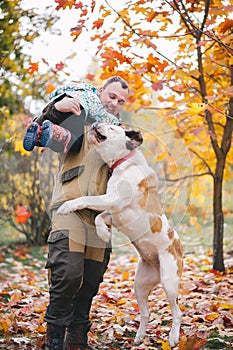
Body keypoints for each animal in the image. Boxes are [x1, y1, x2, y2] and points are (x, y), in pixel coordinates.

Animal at [57, 123, 183, 348]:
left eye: (112, 127)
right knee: (145, 312)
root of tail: (179, 247)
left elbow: (85, 199)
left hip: (169, 282)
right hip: (140, 285)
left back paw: (174, 337)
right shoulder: (112, 211)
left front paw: (67, 206)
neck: (124, 163)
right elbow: (99, 218)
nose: (96, 123)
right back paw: (139, 337)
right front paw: (103, 233)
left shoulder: (112, 199)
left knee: (177, 312)